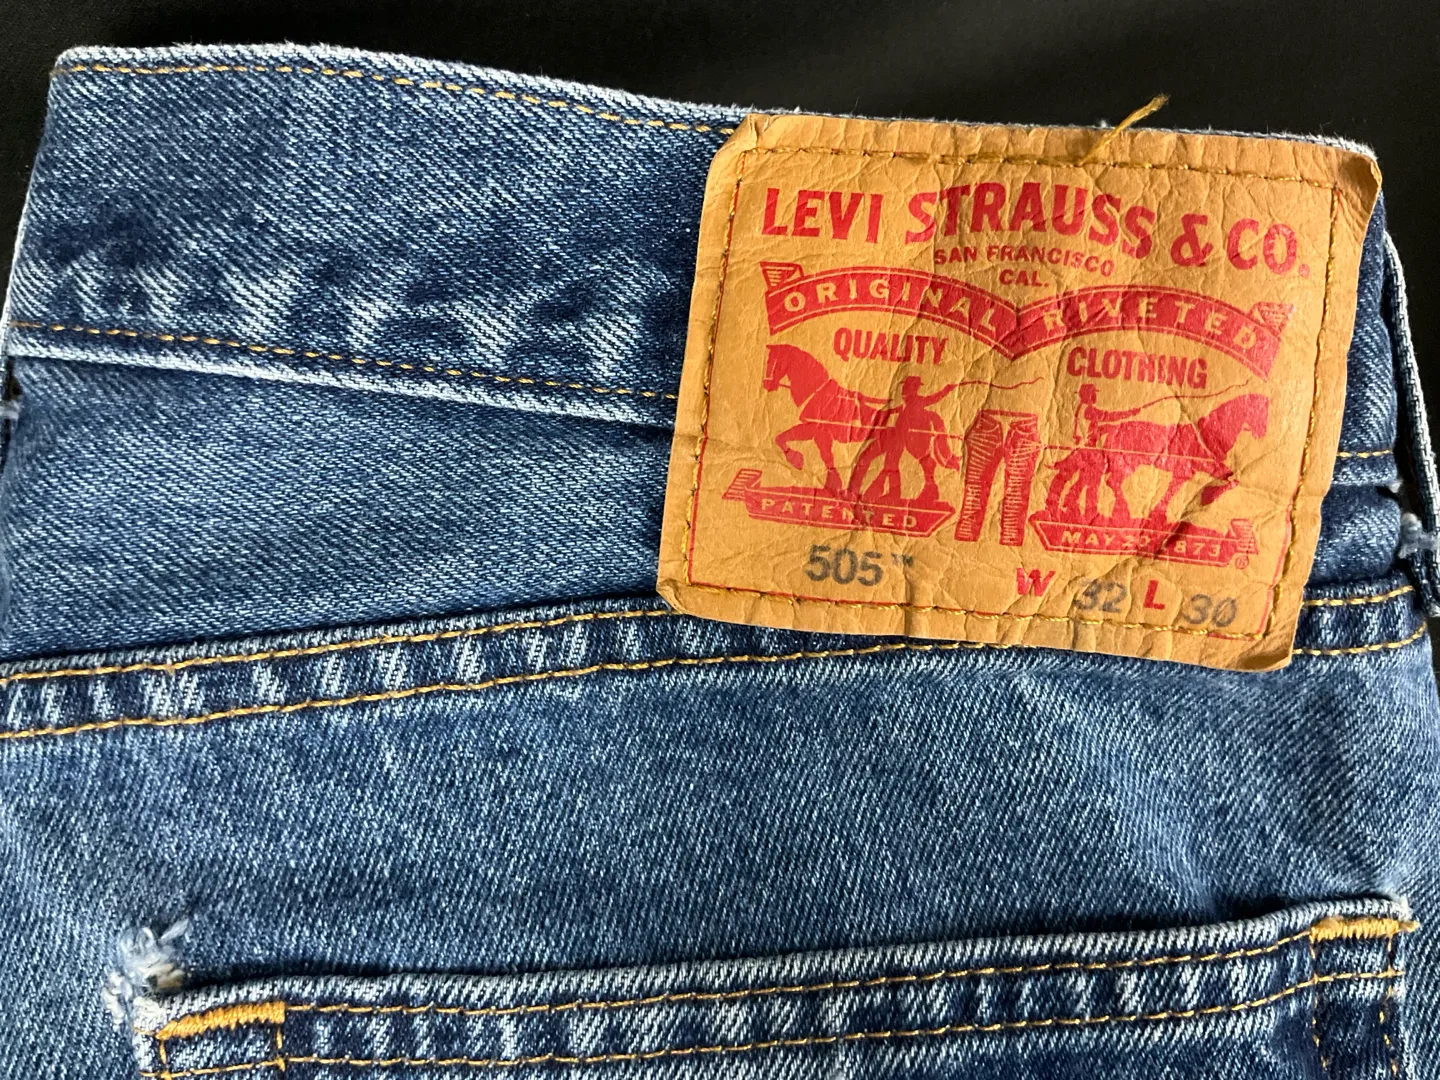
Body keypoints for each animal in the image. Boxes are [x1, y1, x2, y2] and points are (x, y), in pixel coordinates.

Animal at [762, 344, 890, 492]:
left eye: (772, 362)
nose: (766, 385)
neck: (819, 394)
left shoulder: (820, 432)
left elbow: (827, 457)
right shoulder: (814, 431)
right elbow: (782, 437)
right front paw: (798, 460)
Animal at [1045, 394, 1269, 525]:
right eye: (1260, 413)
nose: (1261, 434)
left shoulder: (1185, 473)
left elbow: (1173, 490)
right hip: (1127, 464)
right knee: (1109, 481)